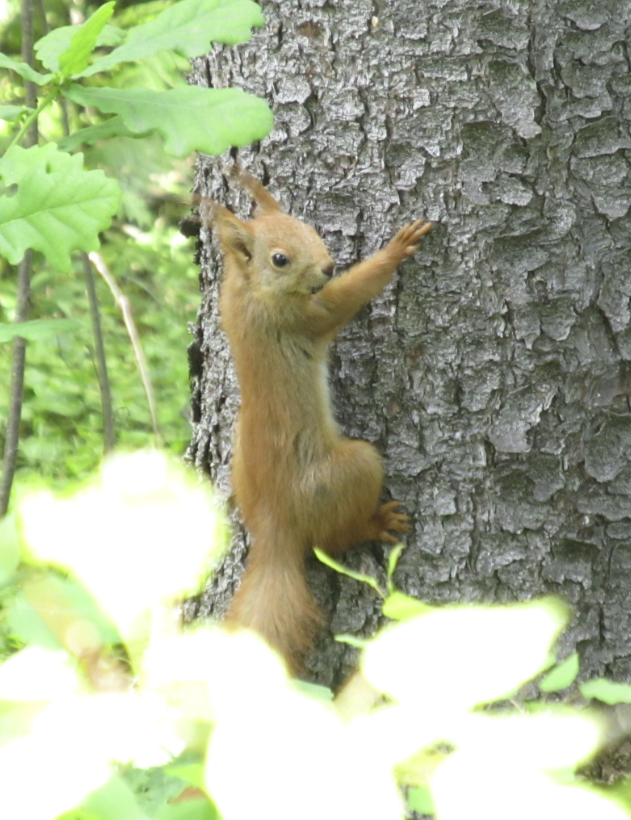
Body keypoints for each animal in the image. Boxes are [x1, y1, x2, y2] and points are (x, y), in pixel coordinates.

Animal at [210, 167, 432, 672]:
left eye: (308, 226)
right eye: (279, 259)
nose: (329, 266)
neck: (247, 291)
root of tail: (275, 527)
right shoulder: (301, 317)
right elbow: (346, 298)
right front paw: (395, 249)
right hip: (347, 472)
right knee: (333, 539)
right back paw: (378, 524)